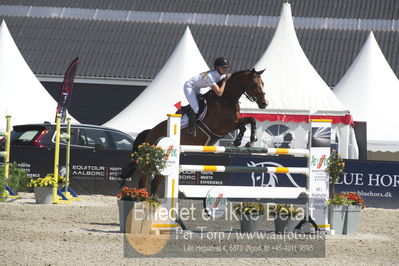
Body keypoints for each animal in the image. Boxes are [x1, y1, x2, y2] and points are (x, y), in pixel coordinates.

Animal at [120, 68, 268, 195]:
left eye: (263, 84)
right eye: (254, 84)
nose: (264, 104)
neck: (224, 100)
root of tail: (150, 132)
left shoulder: (233, 122)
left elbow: (248, 122)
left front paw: (245, 141)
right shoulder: (222, 127)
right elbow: (247, 122)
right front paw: (246, 141)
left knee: (156, 182)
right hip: (152, 160)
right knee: (144, 181)